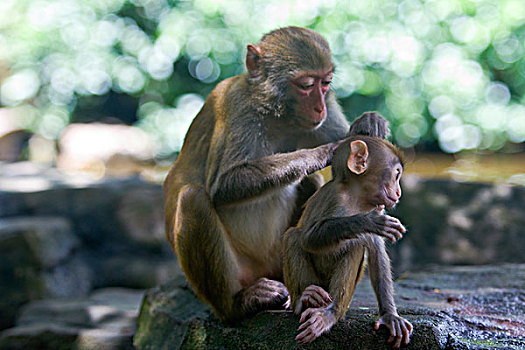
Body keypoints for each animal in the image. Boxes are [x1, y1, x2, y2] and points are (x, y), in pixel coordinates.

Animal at [164, 27, 388, 322]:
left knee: (310, 182)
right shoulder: (238, 107)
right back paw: (240, 303)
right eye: (306, 85)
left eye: (325, 83)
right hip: (238, 273)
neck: (279, 114)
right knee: (193, 198)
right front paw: (324, 152)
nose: (320, 107)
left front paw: (370, 122)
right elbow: (224, 185)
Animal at [284, 134, 412, 348]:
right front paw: (366, 221)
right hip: (315, 283)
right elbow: (309, 238)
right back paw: (304, 300)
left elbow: (376, 254)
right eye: (396, 175)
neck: (357, 197)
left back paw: (331, 312)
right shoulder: (335, 197)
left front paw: (389, 316)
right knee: (294, 236)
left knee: (356, 247)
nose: (399, 193)